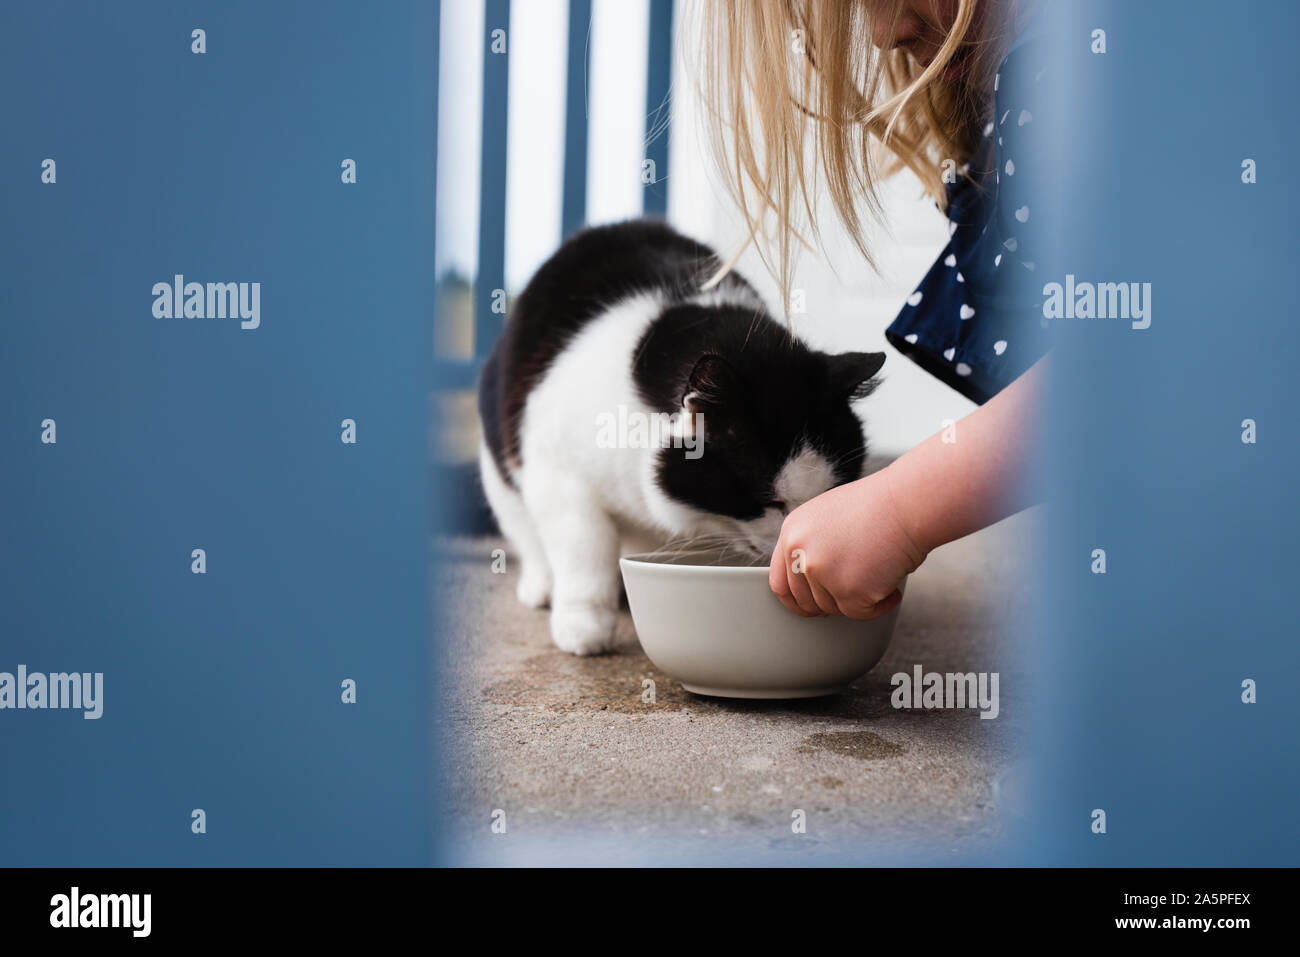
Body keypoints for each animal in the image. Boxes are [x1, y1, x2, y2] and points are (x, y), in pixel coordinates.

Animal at [478, 222, 883, 657]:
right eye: (769, 502)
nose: (795, 552)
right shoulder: (556, 472)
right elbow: (585, 547)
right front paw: (584, 624)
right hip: (501, 468)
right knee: (526, 531)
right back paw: (542, 586)